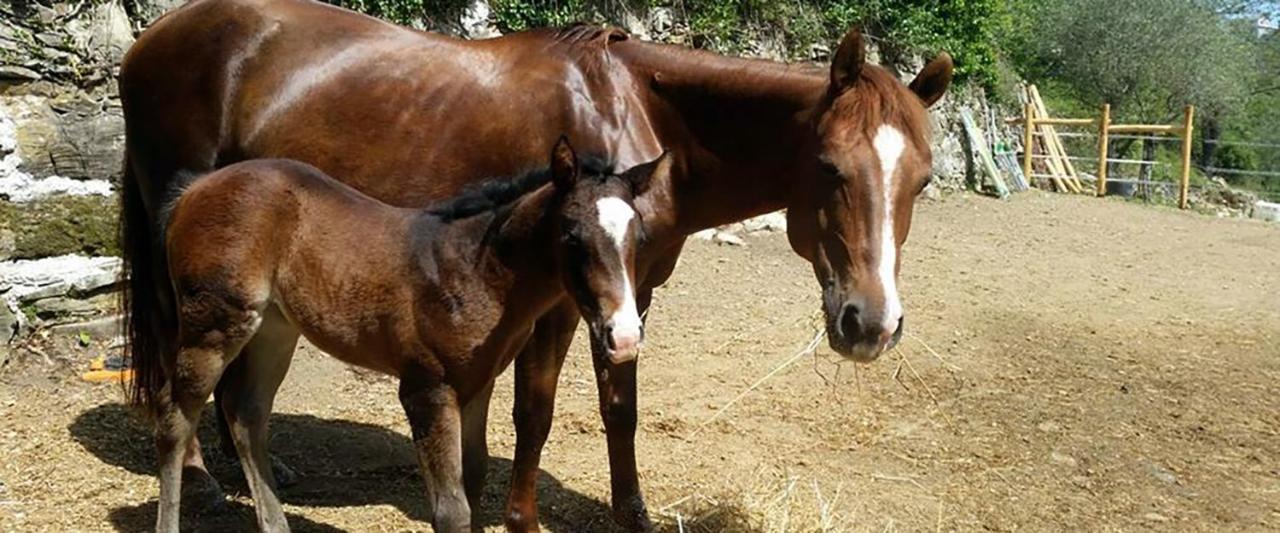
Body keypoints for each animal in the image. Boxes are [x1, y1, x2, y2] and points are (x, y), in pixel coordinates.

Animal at [149, 139, 670, 530]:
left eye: (640, 238)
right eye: (571, 235)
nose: (624, 336)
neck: (478, 269)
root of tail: (193, 188)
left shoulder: (478, 384)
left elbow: (474, 477)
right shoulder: (426, 389)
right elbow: (451, 511)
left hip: (274, 330)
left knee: (246, 414)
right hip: (213, 326)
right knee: (175, 418)